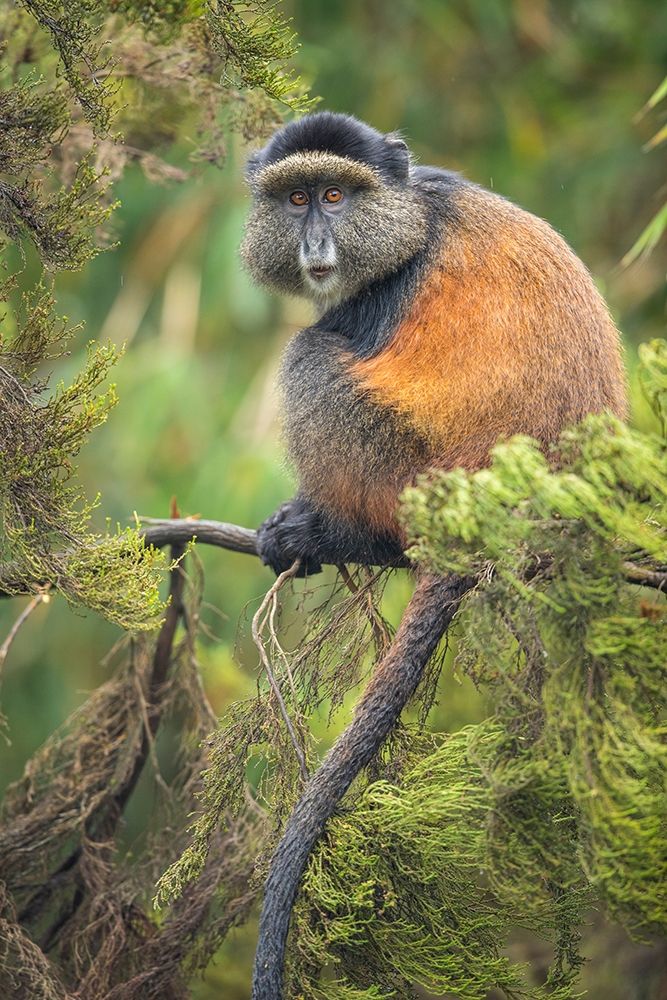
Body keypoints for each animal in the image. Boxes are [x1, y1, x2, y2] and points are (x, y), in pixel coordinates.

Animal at [240, 111, 627, 997]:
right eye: (296, 198)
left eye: (337, 197)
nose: (316, 243)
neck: (414, 213)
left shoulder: (383, 295)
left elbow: (324, 345)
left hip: (405, 472)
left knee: (309, 355)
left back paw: (338, 533)